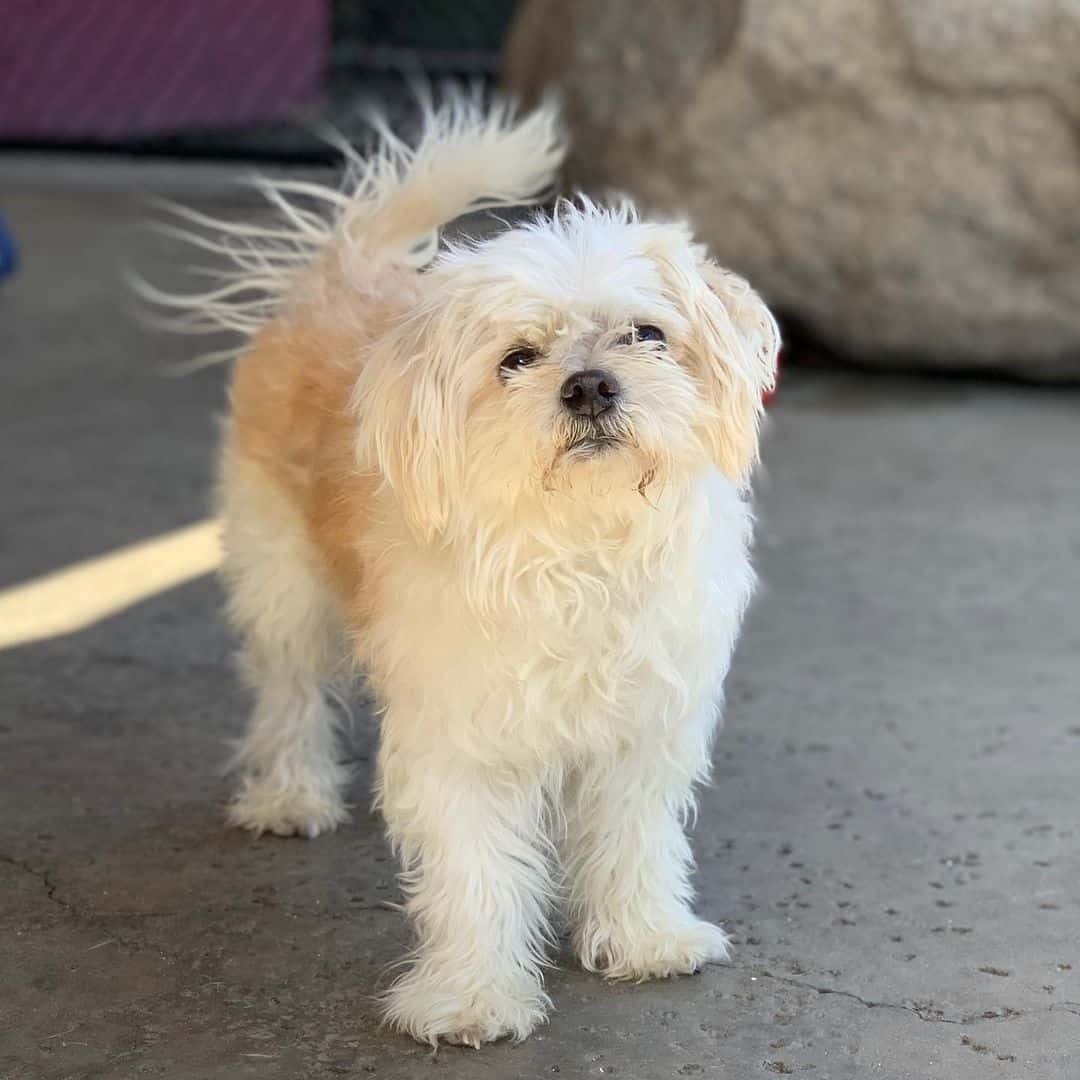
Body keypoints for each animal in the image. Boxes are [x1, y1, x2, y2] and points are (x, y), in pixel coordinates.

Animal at [157, 95, 777, 1045]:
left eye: (647, 334)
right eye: (518, 358)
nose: (589, 385)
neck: (579, 542)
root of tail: (345, 267)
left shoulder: (643, 728)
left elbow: (635, 840)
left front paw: (645, 937)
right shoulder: (460, 736)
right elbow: (476, 873)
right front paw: (472, 996)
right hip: (284, 585)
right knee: (288, 694)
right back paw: (291, 796)